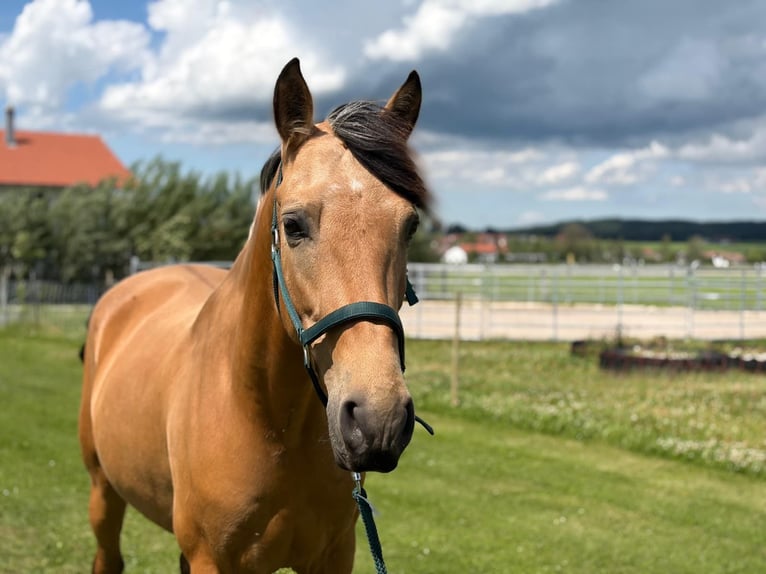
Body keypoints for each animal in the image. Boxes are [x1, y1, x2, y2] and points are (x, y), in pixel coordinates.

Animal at [78, 58, 432, 573]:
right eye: (293, 224)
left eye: (410, 225)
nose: (377, 419)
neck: (266, 419)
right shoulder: (213, 560)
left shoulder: (333, 555)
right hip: (104, 492)